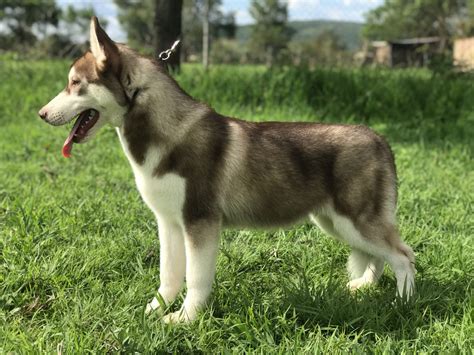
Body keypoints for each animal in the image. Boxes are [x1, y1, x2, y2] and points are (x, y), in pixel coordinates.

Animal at [38, 18, 414, 324]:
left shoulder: (200, 221)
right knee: (379, 258)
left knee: (403, 256)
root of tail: (379, 138)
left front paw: (184, 319)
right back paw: (365, 286)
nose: (41, 114)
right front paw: (155, 310)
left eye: (75, 83)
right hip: (334, 223)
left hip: (355, 222)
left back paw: (403, 304)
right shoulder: (169, 222)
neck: (165, 133)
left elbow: (196, 278)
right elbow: (169, 275)